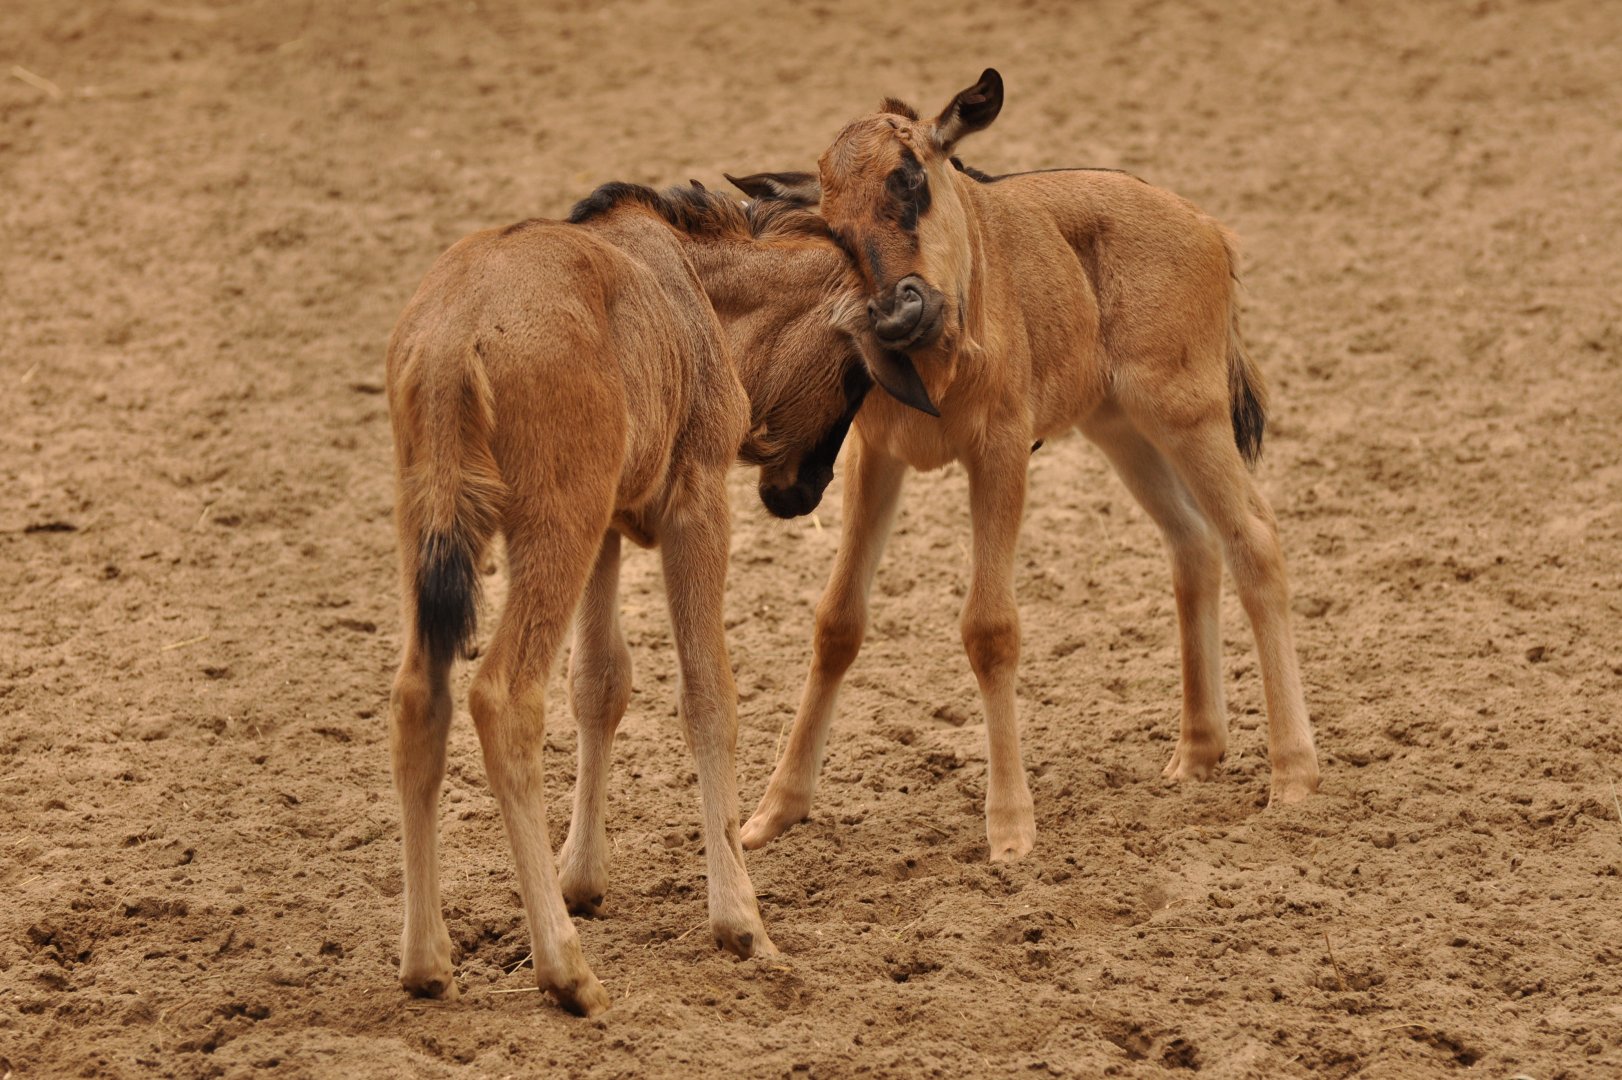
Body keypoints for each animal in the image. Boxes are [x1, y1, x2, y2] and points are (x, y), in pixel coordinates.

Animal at [386, 180, 870, 1015]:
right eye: (857, 372)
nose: (805, 490)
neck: (687, 281)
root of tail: (454, 336)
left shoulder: (610, 528)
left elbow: (600, 682)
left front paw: (582, 878)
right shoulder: (695, 506)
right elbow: (709, 693)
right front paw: (741, 922)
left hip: (440, 528)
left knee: (422, 696)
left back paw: (427, 962)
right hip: (554, 526)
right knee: (503, 697)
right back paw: (566, 970)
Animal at [738, 70, 1321, 863]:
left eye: (911, 176)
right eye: (830, 221)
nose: (894, 312)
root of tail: (1207, 227)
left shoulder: (1001, 450)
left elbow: (990, 627)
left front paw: (1011, 827)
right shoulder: (876, 459)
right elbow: (837, 621)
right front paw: (776, 810)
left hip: (1189, 416)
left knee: (1253, 540)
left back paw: (1293, 774)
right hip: (1121, 430)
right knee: (1192, 543)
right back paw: (1198, 751)